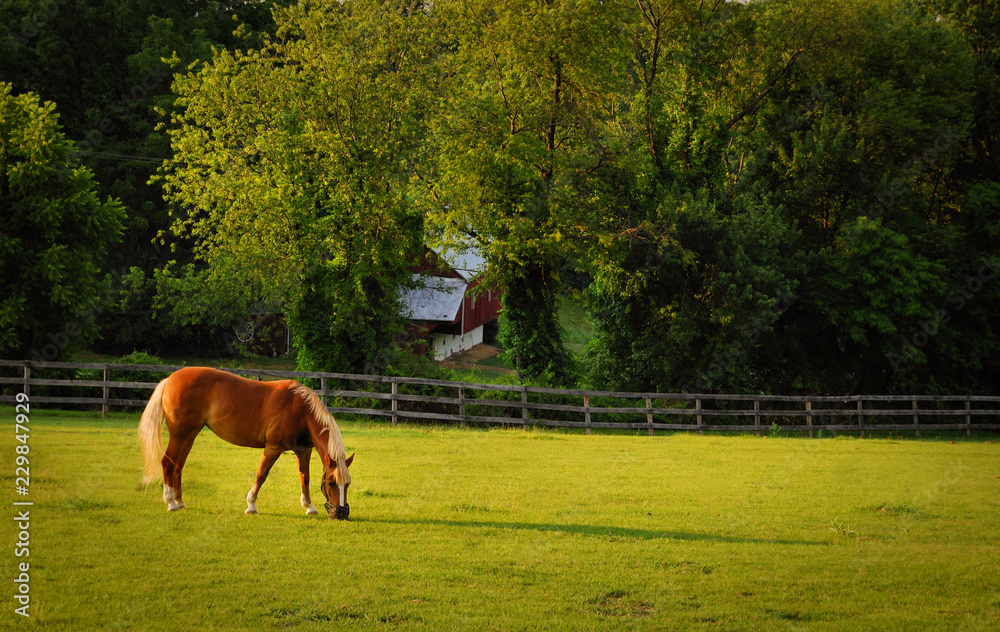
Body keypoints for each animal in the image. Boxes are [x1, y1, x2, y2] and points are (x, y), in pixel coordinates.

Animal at [138, 367, 354, 519]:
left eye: (348, 484)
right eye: (331, 483)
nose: (340, 514)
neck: (300, 409)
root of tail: (169, 380)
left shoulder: (303, 451)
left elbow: (305, 478)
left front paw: (309, 506)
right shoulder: (273, 447)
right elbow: (261, 475)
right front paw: (251, 505)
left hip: (189, 436)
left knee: (177, 466)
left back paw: (180, 502)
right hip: (179, 435)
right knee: (167, 463)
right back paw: (171, 503)